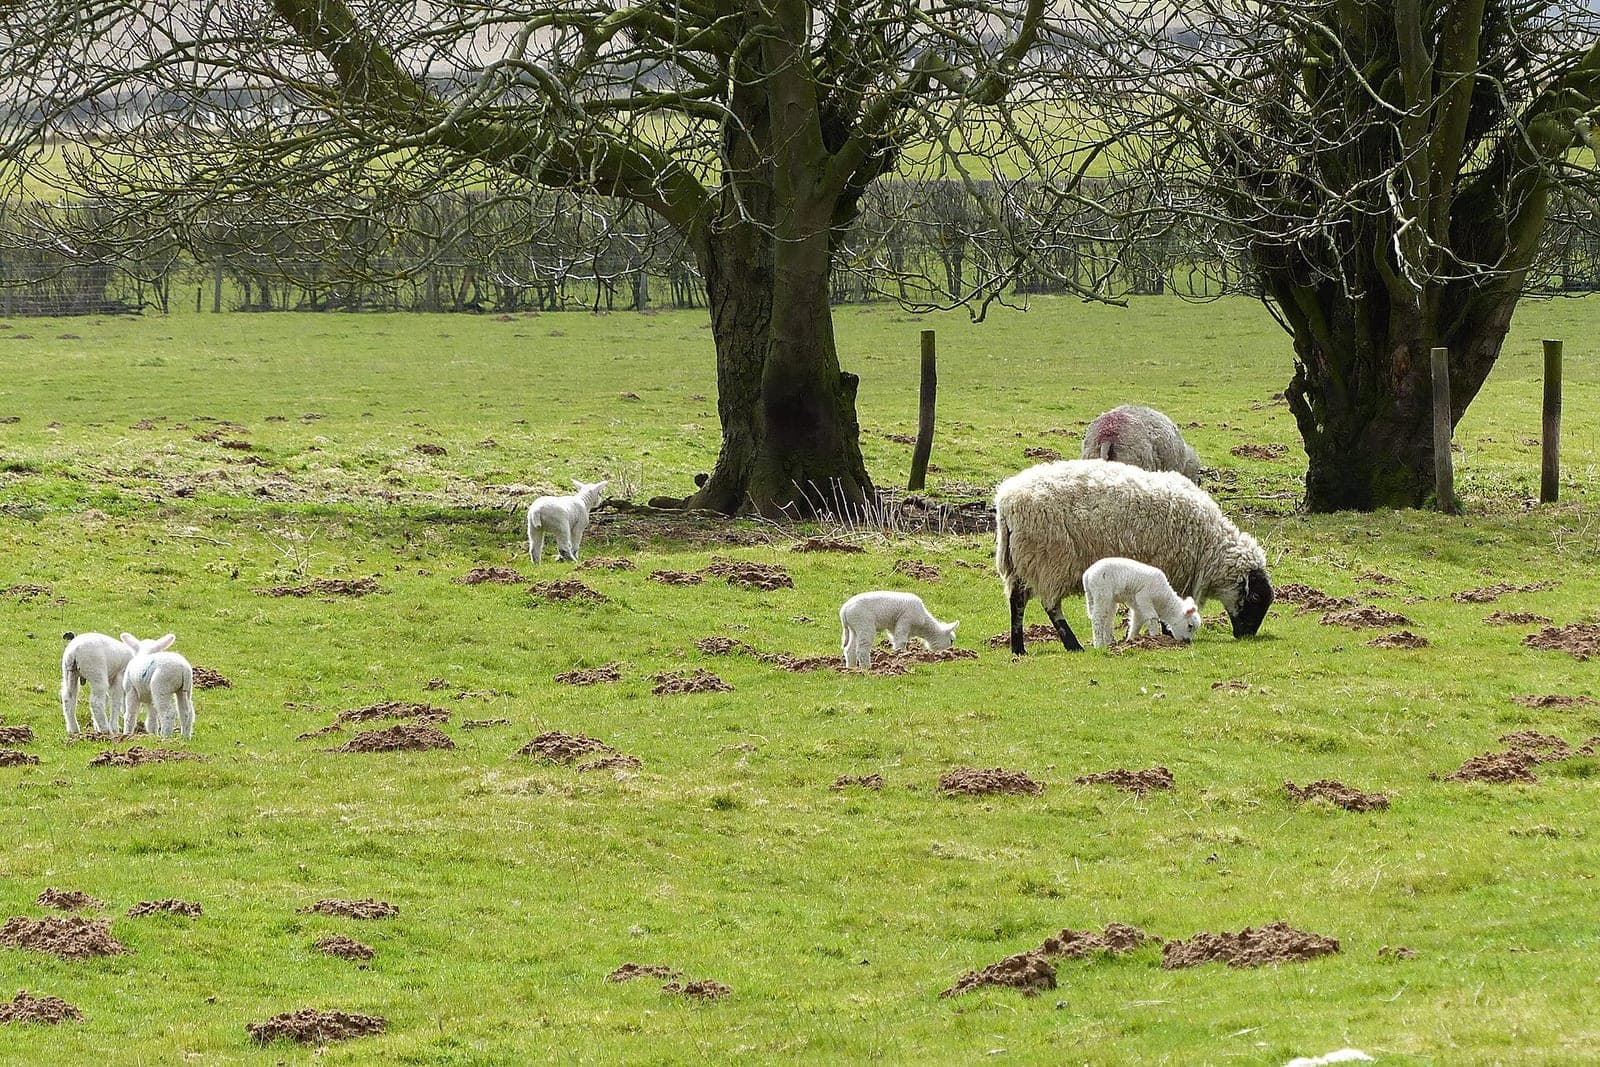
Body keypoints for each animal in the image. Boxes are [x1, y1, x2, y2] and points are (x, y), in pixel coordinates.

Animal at [994, 459, 1272, 654]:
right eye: (1255, 597)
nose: (1246, 636)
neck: (1207, 545)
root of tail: (1007, 501)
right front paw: (1165, 634)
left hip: (1021, 561)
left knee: (1017, 600)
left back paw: (1018, 647)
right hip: (1049, 559)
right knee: (1050, 605)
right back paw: (1072, 644)